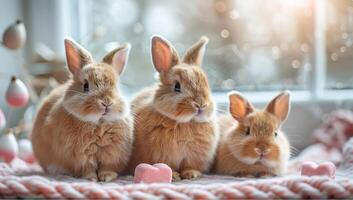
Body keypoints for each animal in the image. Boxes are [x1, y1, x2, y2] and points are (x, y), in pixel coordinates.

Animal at [31, 37, 133, 181]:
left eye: (116, 87)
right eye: (85, 86)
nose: (106, 103)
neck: (99, 124)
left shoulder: (112, 155)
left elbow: (107, 167)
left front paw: (106, 177)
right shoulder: (80, 157)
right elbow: (87, 168)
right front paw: (91, 178)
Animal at [126, 35, 219, 180]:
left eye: (206, 85)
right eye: (177, 87)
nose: (201, 105)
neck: (185, 123)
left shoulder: (193, 158)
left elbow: (189, 166)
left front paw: (191, 174)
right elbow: (169, 166)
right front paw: (174, 175)